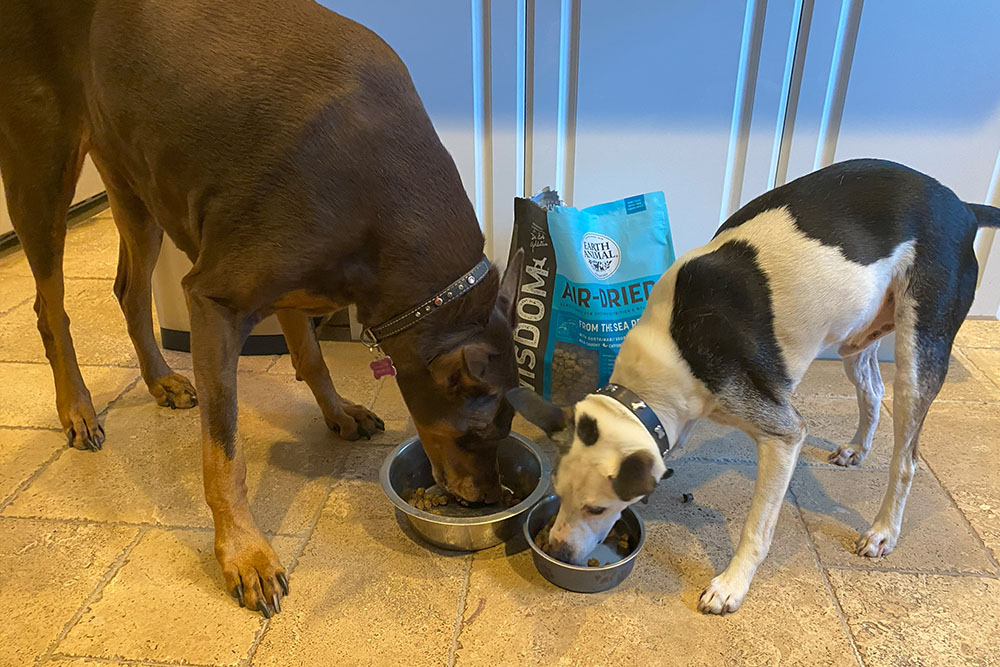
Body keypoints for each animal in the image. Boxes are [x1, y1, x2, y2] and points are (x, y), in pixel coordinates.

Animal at [1, 0, 524, 616]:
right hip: (42, 164)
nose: (487, 499)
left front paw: (340, 411)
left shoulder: (293, 281)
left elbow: (312, 357)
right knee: (48, 304)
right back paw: (78, 409)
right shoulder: (214, 298)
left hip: (132, 180)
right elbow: (225, 452)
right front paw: (245, 553)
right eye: (474, 435)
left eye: (508, 426)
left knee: (128, 291)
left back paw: (161, 380)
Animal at [512, 160, 996, 616]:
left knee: (907, 458)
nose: (557, 550)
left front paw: (731, 584)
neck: (672, 352)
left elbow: (758, 526)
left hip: (919, 351)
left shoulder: (783, 434)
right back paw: (857, 448)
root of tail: (962, 207)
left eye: (596, 508)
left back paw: (882, 531)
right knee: (873, 390)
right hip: (856, 338)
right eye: (558, 493)